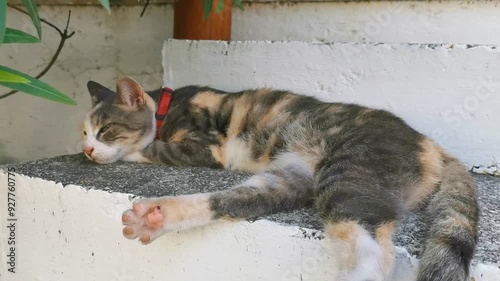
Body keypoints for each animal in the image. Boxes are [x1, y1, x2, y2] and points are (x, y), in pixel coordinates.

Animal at [81, 76, 476, 280]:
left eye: (105, 130)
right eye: (83, 131)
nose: (86, 149)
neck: (167, 106)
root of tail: (431, 145)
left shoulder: (206, 146)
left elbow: (151, 149)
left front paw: (123, 152)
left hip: (349, 175)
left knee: (373, 253)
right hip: (291, 178)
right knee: (233, 200)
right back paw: (156, 216)